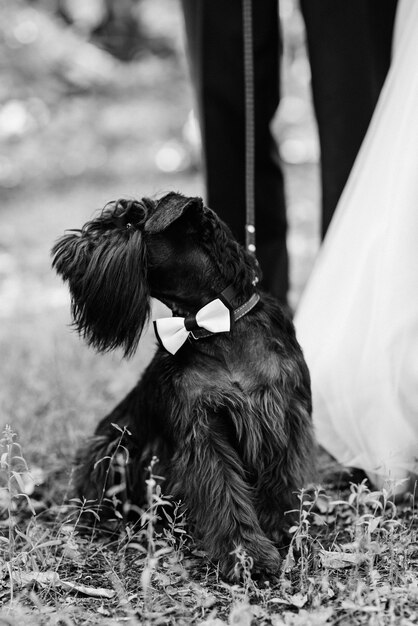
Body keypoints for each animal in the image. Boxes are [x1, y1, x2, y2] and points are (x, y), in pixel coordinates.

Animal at [52, 190, 314, 576]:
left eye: (129, 223)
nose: (67, 250)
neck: (216, 323)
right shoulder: (203, 428)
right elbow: (225, 489)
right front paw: (246, 554)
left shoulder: (282, 412)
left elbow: (281, 478)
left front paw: (283, 528)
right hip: (113, 445)